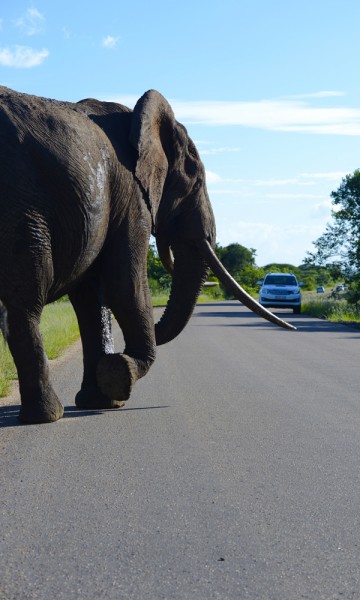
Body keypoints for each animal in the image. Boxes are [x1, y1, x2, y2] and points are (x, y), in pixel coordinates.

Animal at [0, 84, 294, 424]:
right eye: (196, 177)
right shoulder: (132, 193)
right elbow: (123, 286)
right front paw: (119, 374)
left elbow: (91, 298)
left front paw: (101, 397)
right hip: (20, 208)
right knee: (26, 300)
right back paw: (47, 416)